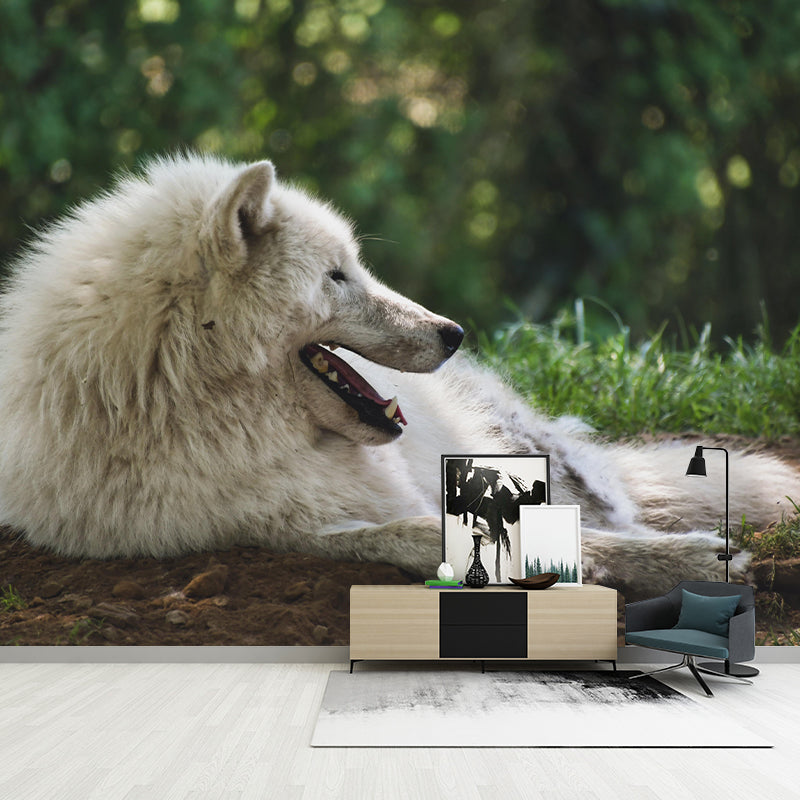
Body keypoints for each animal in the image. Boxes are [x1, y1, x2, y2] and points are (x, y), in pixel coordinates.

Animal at [0, 154, 796, 598]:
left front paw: (685, 557)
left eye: (355, 265)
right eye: (336, 276)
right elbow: (414, 537)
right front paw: (690, 562)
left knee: (614, 503)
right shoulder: (288, 527)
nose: (453, 333)